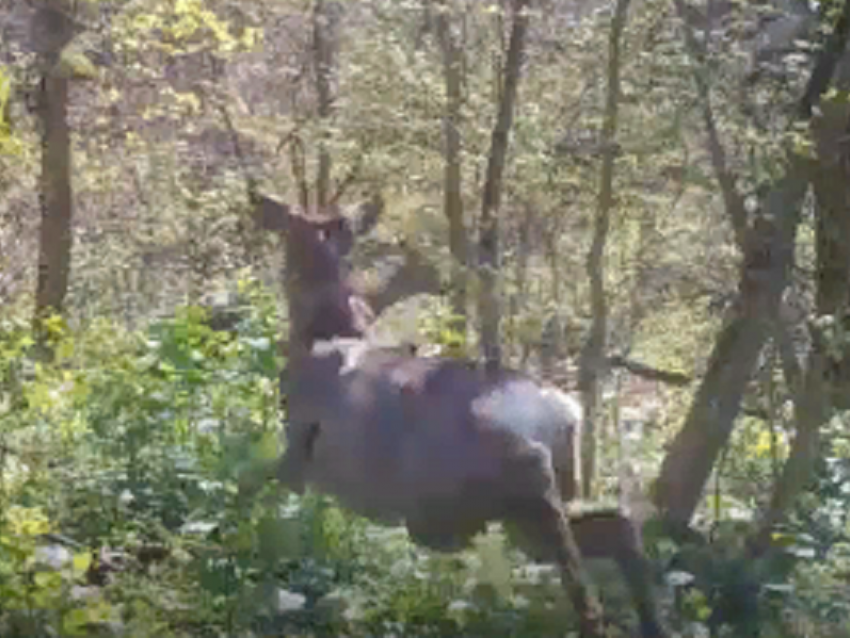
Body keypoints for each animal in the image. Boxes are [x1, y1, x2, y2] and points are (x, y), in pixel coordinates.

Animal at [248, 194, 664, 638]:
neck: (323, 334)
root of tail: (565, 413)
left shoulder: (297, 453)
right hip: (535, 502)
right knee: (620, 528)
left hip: (522, 494)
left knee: (588, 599)